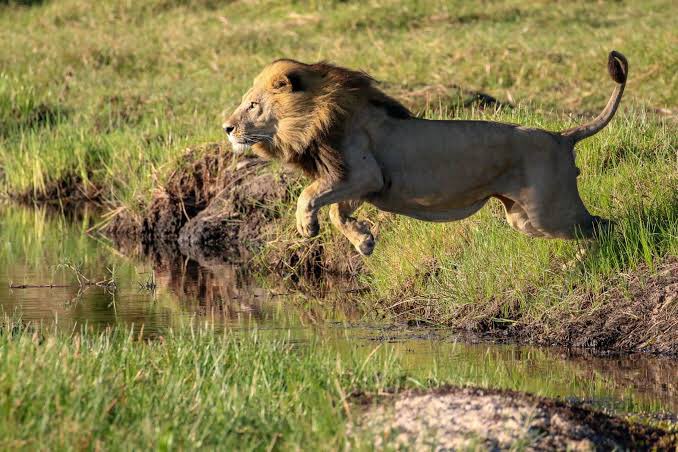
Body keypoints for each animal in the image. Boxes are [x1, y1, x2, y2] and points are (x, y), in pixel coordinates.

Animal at [222, 51, 628, 256]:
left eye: (253, 105)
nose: (226, 127)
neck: (313, 120)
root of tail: (562, 137)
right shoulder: (360, 184)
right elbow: (338, 212)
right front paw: (364, 241)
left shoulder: (362, 175)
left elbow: (308, 196)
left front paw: (306, 226)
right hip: (523, 218)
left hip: (550, 212)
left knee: (605, 226)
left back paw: (592, 258)